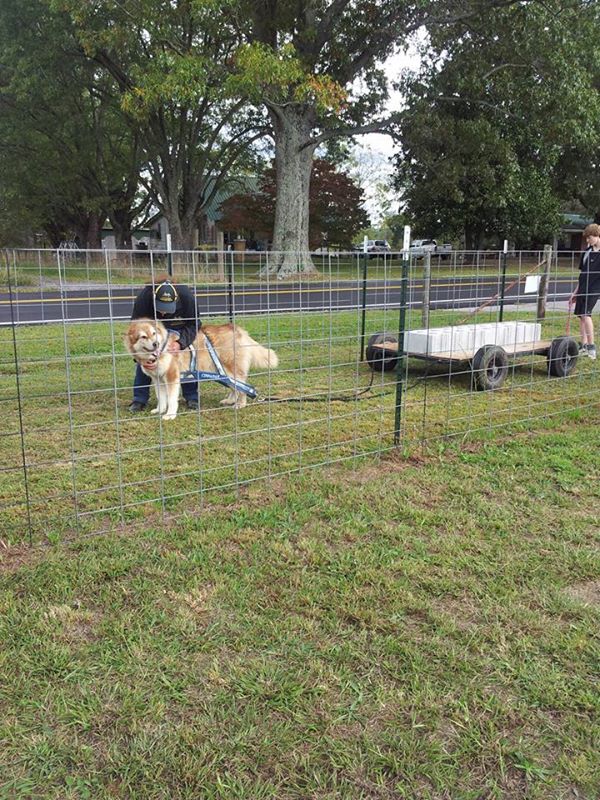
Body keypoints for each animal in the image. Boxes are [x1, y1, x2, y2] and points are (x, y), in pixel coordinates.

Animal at [126, 318, 278, 418]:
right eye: (143, 336)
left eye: (154, 334)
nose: (156, 344)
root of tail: (236, 329)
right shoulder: (158, 379)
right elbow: (162, 398)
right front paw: (159, 410)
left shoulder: (172, 377)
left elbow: (171, 399)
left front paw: (170, 414)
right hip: (222, 371)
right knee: (235, 387)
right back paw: (230, 400)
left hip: (230, 369)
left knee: (242, 387)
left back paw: (240, 404)